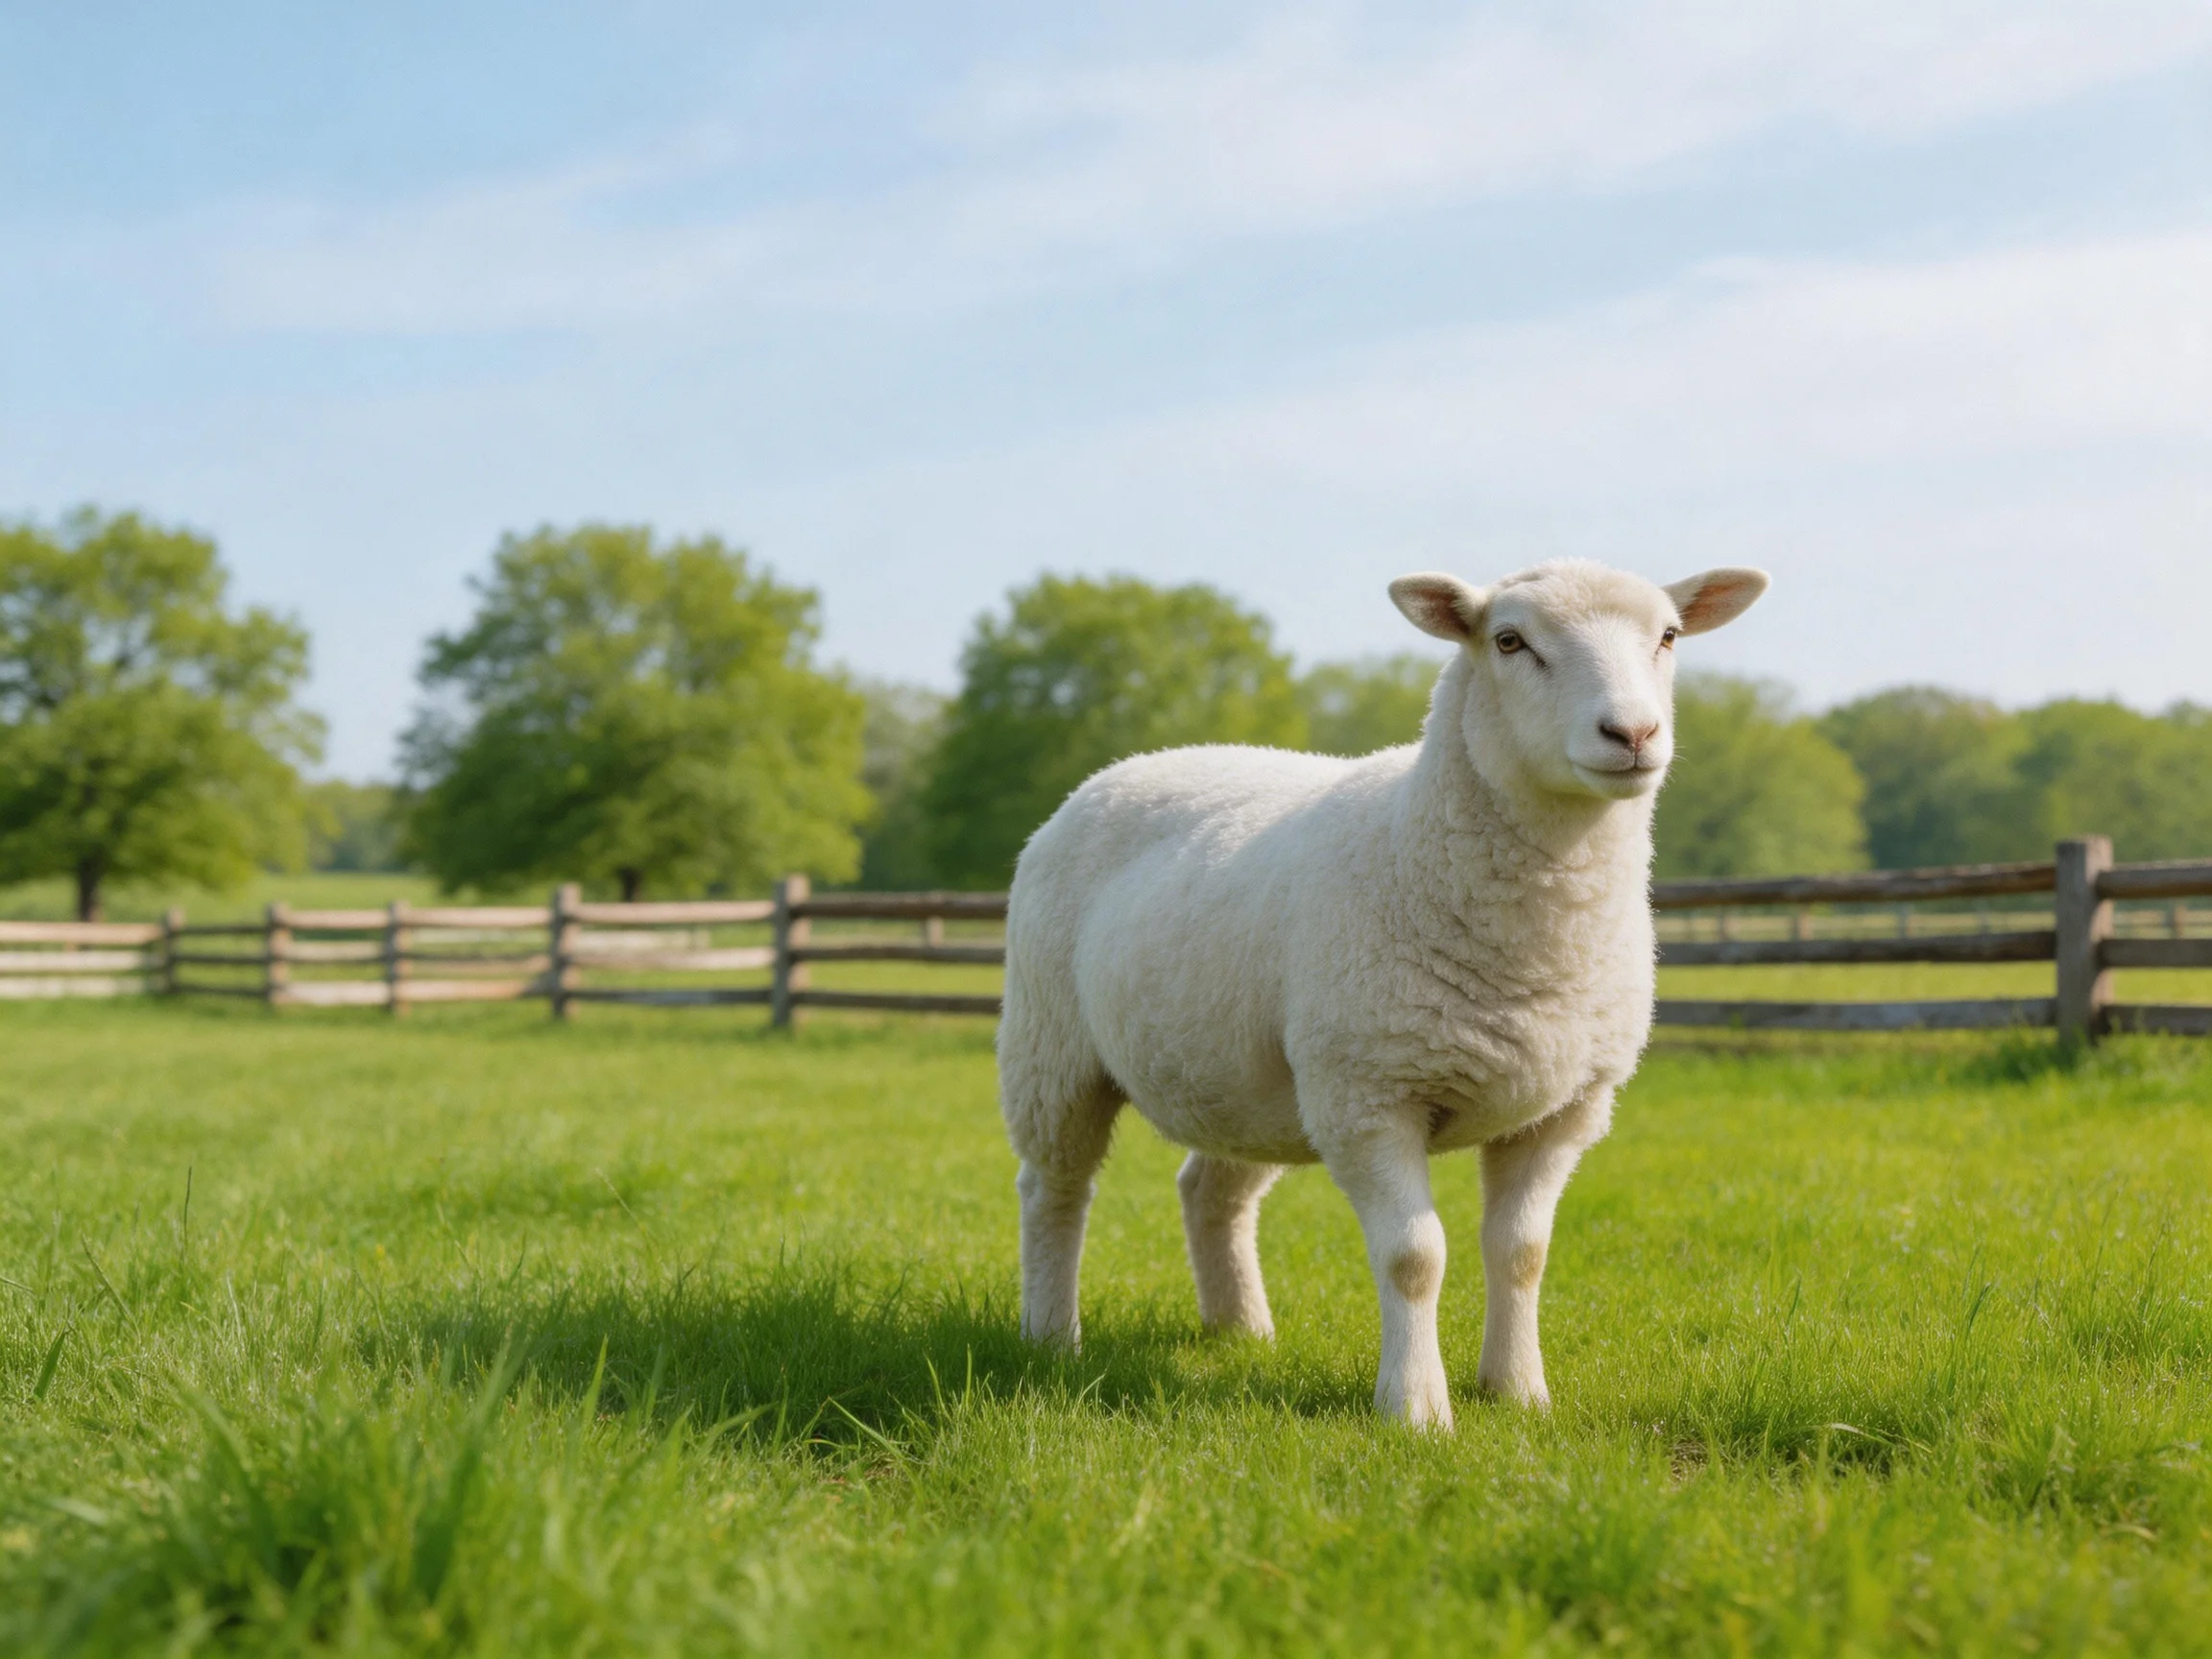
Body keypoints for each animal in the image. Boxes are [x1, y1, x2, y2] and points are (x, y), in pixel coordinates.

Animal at [996, 559, 1769, 1427]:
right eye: (1510, 640)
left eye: (1668, 635)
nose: (1632, 734)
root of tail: (1134, 763)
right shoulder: (1371, 1097)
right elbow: (1413, 1257)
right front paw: (1416, 1409)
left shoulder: (1564, 1109)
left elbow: (1523, 1253)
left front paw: (1518, 1392)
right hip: (1053, 1048)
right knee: (1055, 1189)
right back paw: (1051, 1337)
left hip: (1252, 1081)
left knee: (1210, 1191)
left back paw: (1241, 1331)